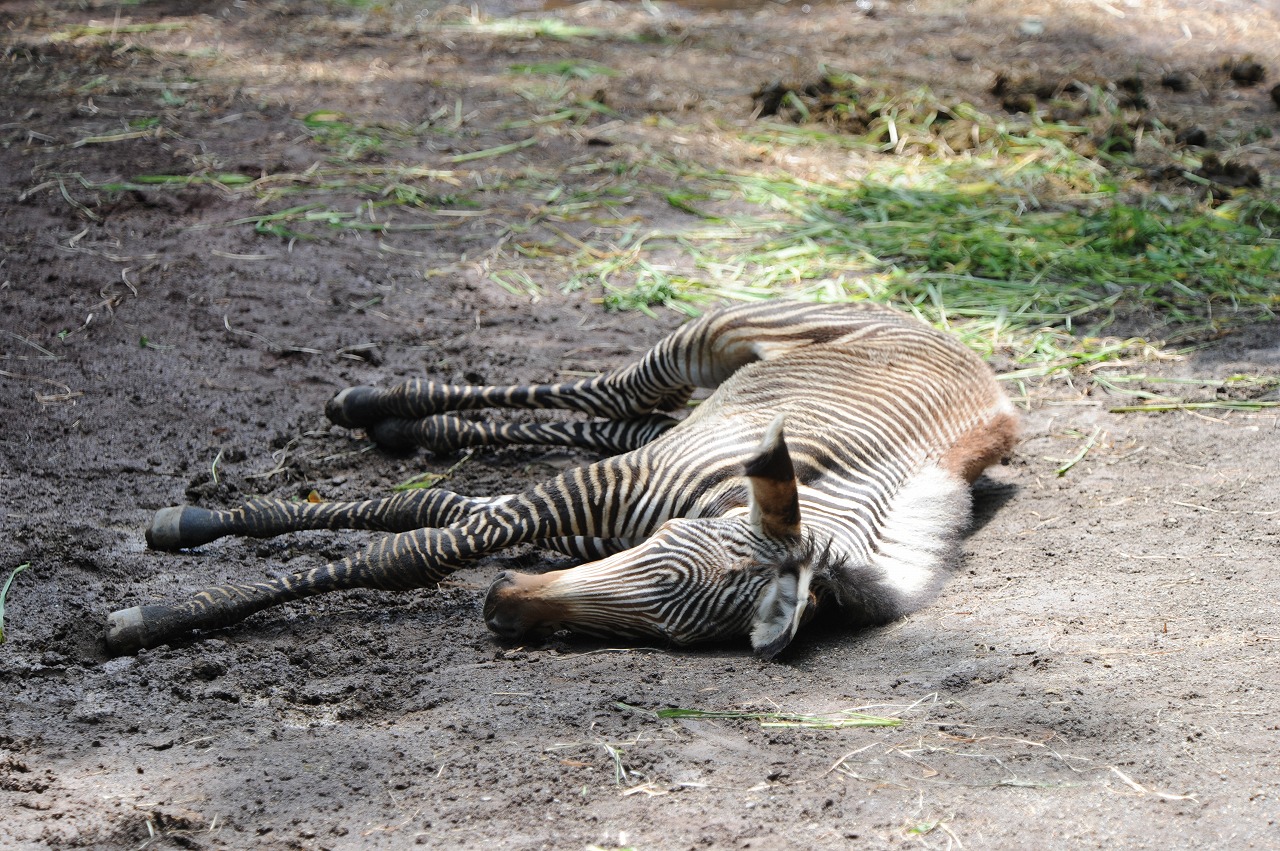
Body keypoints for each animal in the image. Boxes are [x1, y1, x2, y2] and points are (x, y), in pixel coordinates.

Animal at [102, 300, 1018, 655]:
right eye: (662, 554)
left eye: (671, 637)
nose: (500, 604)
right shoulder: (599, 495)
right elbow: (416, 546)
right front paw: (159, 613)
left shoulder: (597, 506)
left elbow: (427, 517)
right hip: (712, 339)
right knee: (609, 391)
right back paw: (380, 403)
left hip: (689, 411)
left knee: (606, 414)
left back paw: (407, 424)